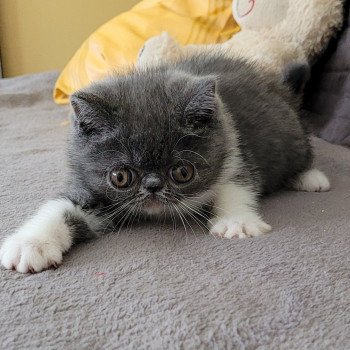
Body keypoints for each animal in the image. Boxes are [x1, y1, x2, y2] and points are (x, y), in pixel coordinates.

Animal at [0, 53, 330, 272]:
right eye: (120, 177)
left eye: (182, 172)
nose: (153, 186)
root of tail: (275, 85)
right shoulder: (88, 182)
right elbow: (63, 206)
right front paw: (30, 243)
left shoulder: (233, 146)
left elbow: (236, 182)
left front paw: (237, 222)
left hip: (292, 133)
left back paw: (309, 178)